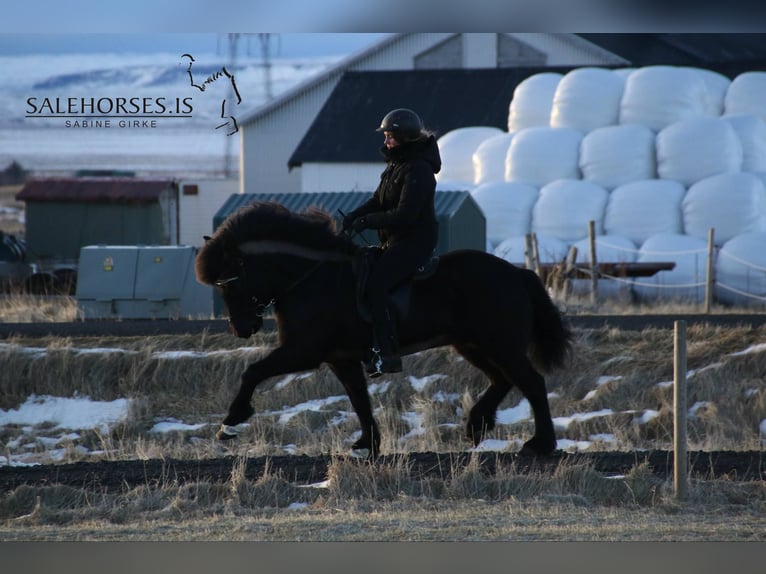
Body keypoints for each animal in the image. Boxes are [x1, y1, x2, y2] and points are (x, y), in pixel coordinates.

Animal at [195, 202, 572, 460]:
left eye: (231, 282)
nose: (241, 329)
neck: (309, 278)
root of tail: (518, 273)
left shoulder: (303, 351)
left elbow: (253, 372)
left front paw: (230, 424)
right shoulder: (340, 359)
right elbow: (359, 400)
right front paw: (367, 445)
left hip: (500, 344)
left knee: (532, 383)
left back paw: (540, 444)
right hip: (474, 345)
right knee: (504, 380)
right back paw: (477, 423)